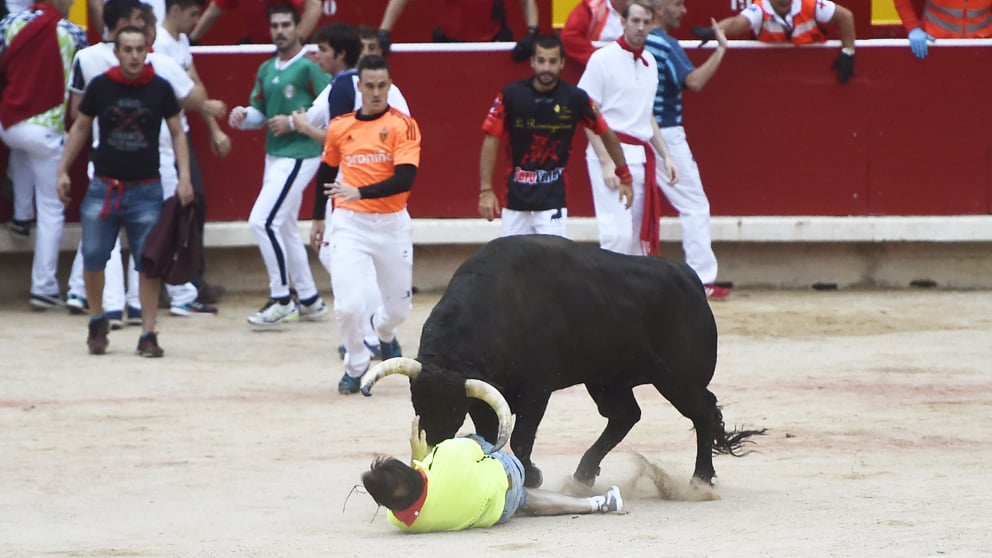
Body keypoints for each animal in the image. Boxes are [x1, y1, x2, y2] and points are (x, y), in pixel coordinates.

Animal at [364, 234, 760, 488]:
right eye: (416, 403)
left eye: (451, 409)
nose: (432, 451)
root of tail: (690, 279)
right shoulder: (485, 395)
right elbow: (491, 435)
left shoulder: (537, 389)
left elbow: (521, 438)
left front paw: (533, 477)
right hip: (607, 380)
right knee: (626, 415)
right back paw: (584, 474)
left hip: (678, 379)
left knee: (703, 413)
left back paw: (700, 478)